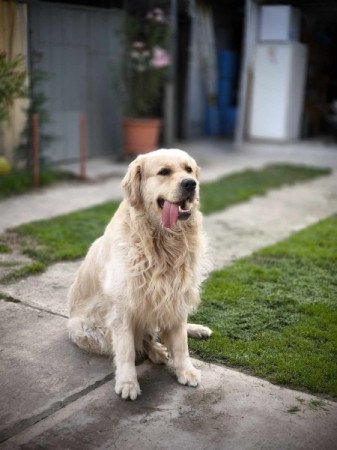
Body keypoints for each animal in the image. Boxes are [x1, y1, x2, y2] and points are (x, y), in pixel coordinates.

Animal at [67, 149, 211, 400]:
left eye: (189, 170)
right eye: (164, 172)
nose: (190, 184)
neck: (162, 241)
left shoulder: (176, 296)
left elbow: (180, 342)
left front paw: (186, 370)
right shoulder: (123, 306)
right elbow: (126, 351)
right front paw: (127, 383)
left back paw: (193, 332)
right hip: (83, 329)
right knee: (141, 340)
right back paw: (156, 351)